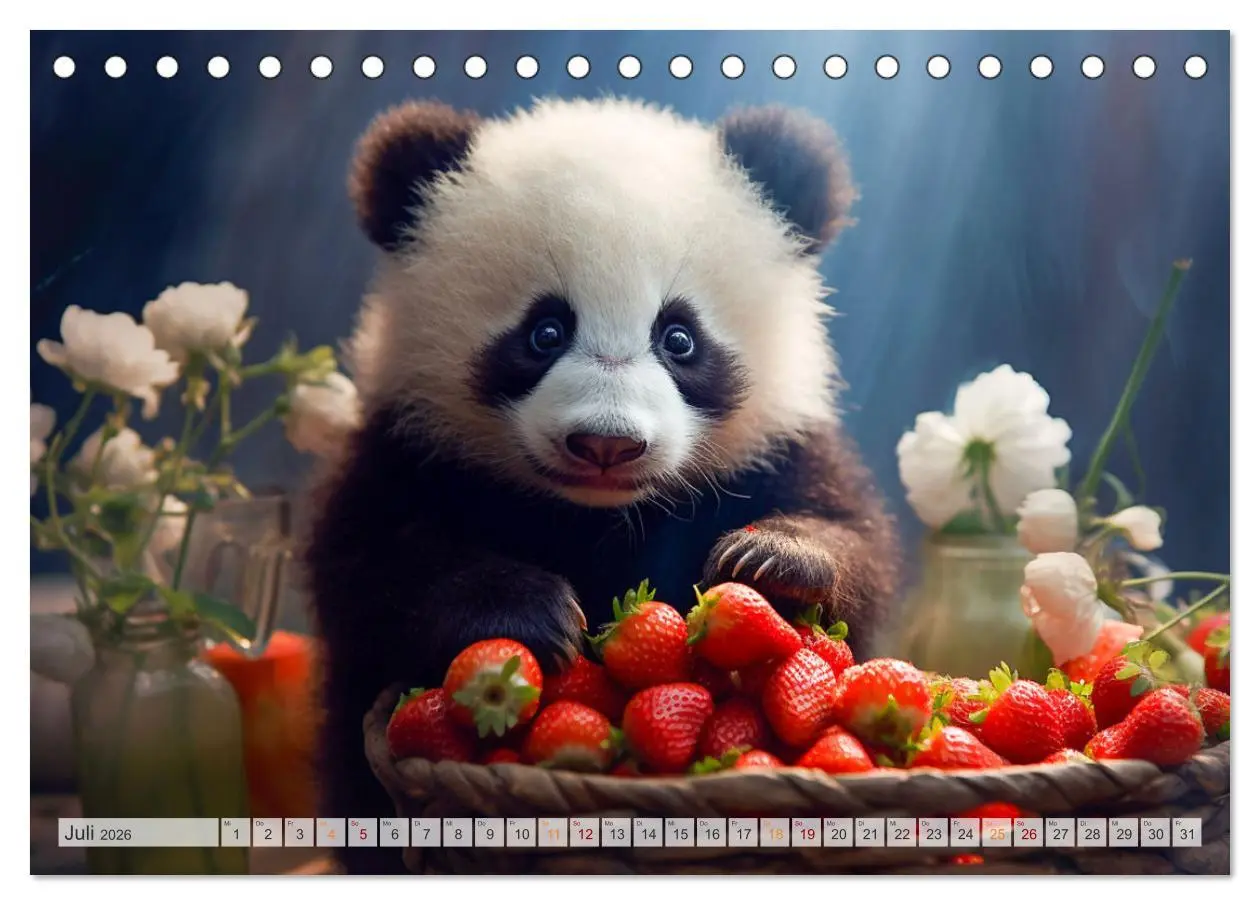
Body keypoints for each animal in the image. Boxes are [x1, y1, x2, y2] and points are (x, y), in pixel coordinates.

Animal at [306, 96, 901, 873]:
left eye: (679, 338)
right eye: (544, 331)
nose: (606, 444)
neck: (600, 513)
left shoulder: (780, 445)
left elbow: (855, 543)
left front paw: (771, 560)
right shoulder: (409, 447)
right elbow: (373, 563)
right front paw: (527, 614)